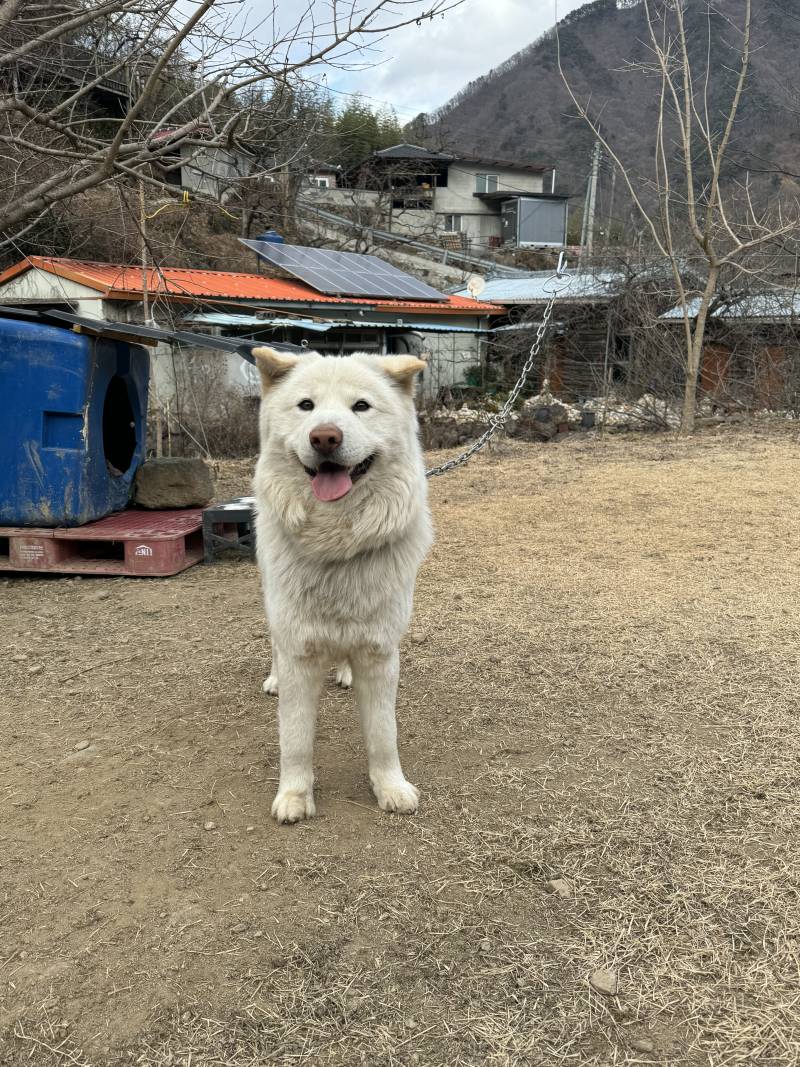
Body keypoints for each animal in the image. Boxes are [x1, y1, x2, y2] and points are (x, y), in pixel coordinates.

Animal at [254, 349, 433, 823]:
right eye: (306, 406)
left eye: (361, 407)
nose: (325, 437)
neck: (337, 542)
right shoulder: (299, 652)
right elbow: (295, 740)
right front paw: (294, 796)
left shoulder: (380, 655)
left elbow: (384, 735)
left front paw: (391, 788)